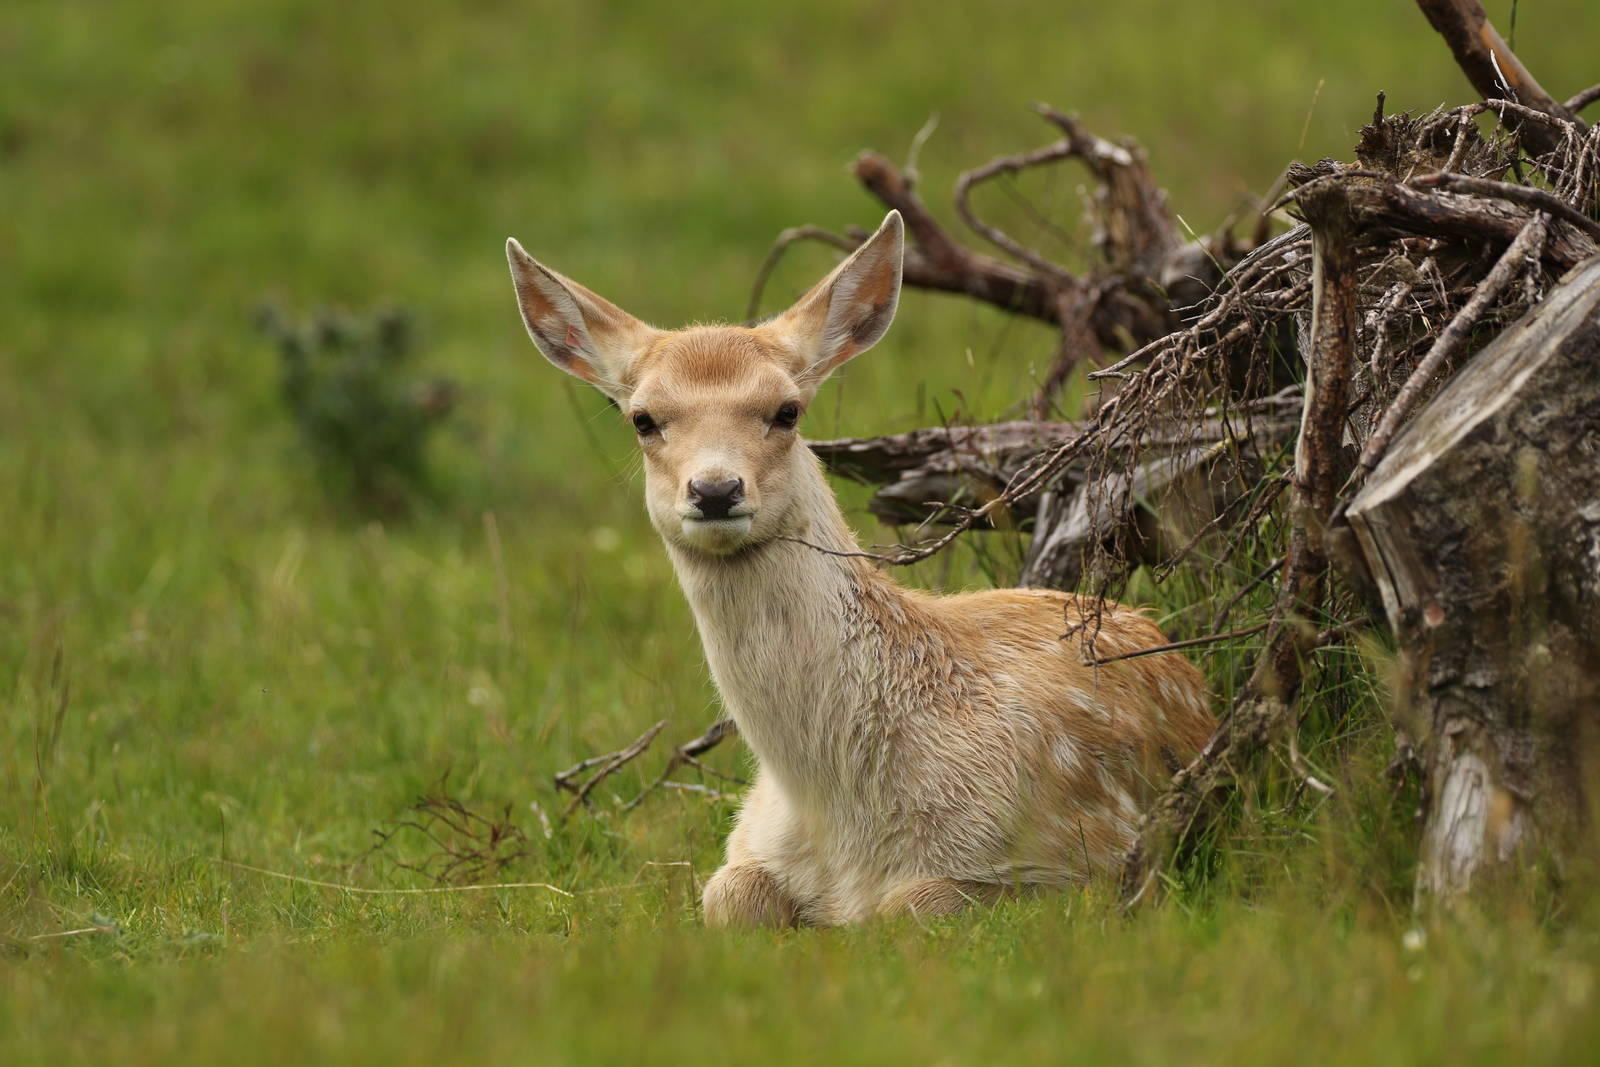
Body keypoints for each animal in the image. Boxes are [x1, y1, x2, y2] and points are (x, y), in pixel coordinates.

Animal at [506, 210, 1215, 926]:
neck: (840, 817)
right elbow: (725, 897)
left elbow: (914, 905)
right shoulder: (747, 842)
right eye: (643, 419)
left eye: (787, 411)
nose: (715, 490)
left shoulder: (1086, 858)